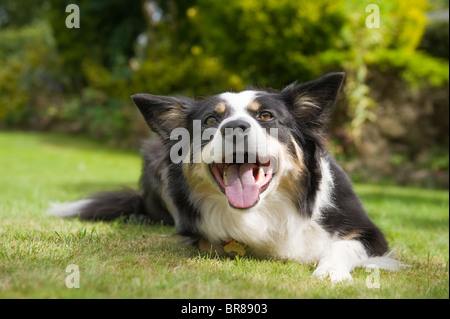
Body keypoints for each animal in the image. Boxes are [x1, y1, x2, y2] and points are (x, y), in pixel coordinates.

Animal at [50, 72, 400, 282]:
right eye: (210, 120)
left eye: (266, 116)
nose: (234, 127)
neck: (266, 212)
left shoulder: (370, 234)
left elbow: (341, 247)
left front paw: (329, 271)